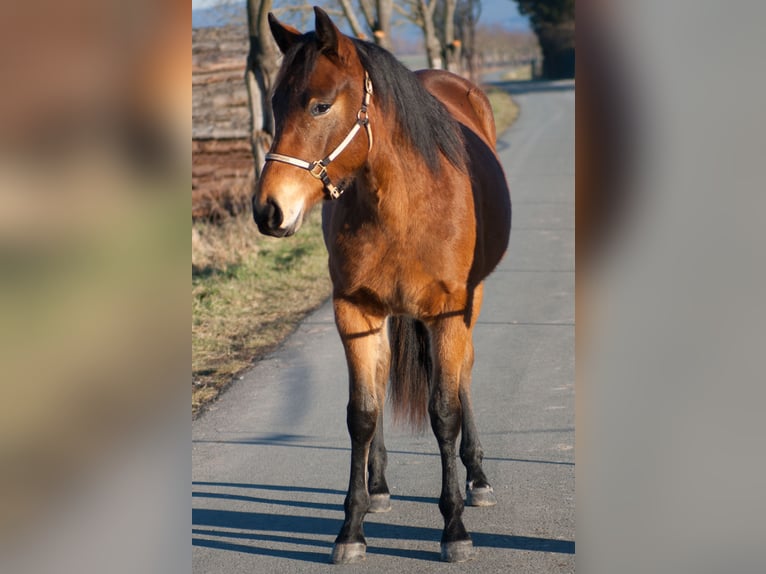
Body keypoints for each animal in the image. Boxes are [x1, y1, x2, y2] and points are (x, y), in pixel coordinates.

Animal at [255, 6, 512, 568]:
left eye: (320, 104)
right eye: (275, 104)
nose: (268, 210)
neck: (405, 202)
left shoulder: (448, 313)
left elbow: (444, 412)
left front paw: (453, 527)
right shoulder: (355, 311)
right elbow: (363, 414)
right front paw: (351, 527)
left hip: (471, 304)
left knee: (464, 375)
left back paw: (478, 476)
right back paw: (377, 486)